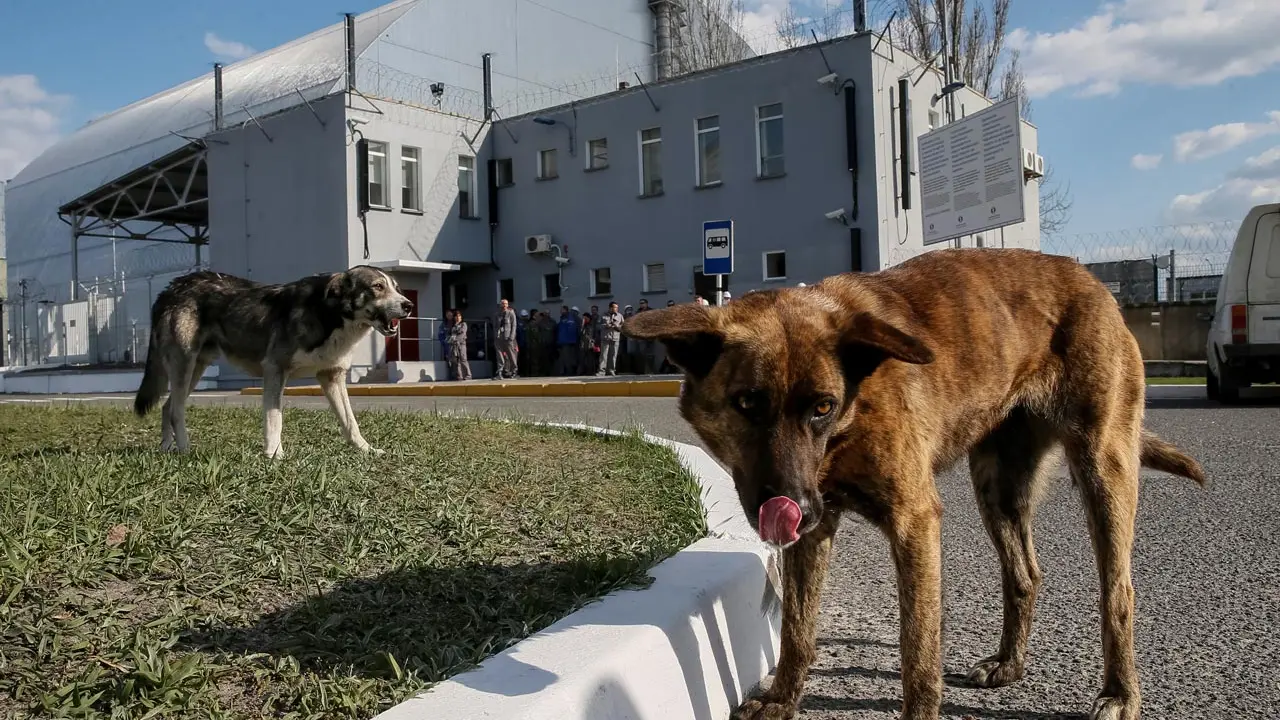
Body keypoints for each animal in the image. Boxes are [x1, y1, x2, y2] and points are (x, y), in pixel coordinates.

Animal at [133, 265, 414, 459]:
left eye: (397, 288)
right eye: (378, 287)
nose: (409, 305)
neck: (330, 314)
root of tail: (171, 287)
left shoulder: (332, 377)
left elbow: (350, 422)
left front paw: (366, 449)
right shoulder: (275, 370)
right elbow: (274, 418)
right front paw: (274, 454)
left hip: (196, 367)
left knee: (167, 406)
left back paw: (166, 447)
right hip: (185, 363)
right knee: (176, 410)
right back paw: (184, 450)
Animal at [623, 247, 1205, 720]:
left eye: (822, 407)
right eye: (747, 403)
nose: (796, 509)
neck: (850, 419)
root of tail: (1092, 281)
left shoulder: (914, 522)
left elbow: (918, 650)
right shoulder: (815, 533)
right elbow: (797, 627)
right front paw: (783, 699)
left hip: (1102, 470)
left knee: (1119, 590)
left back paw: (1120, 693)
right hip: (997, 487)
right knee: (1024, 574)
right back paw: (1009, 664)